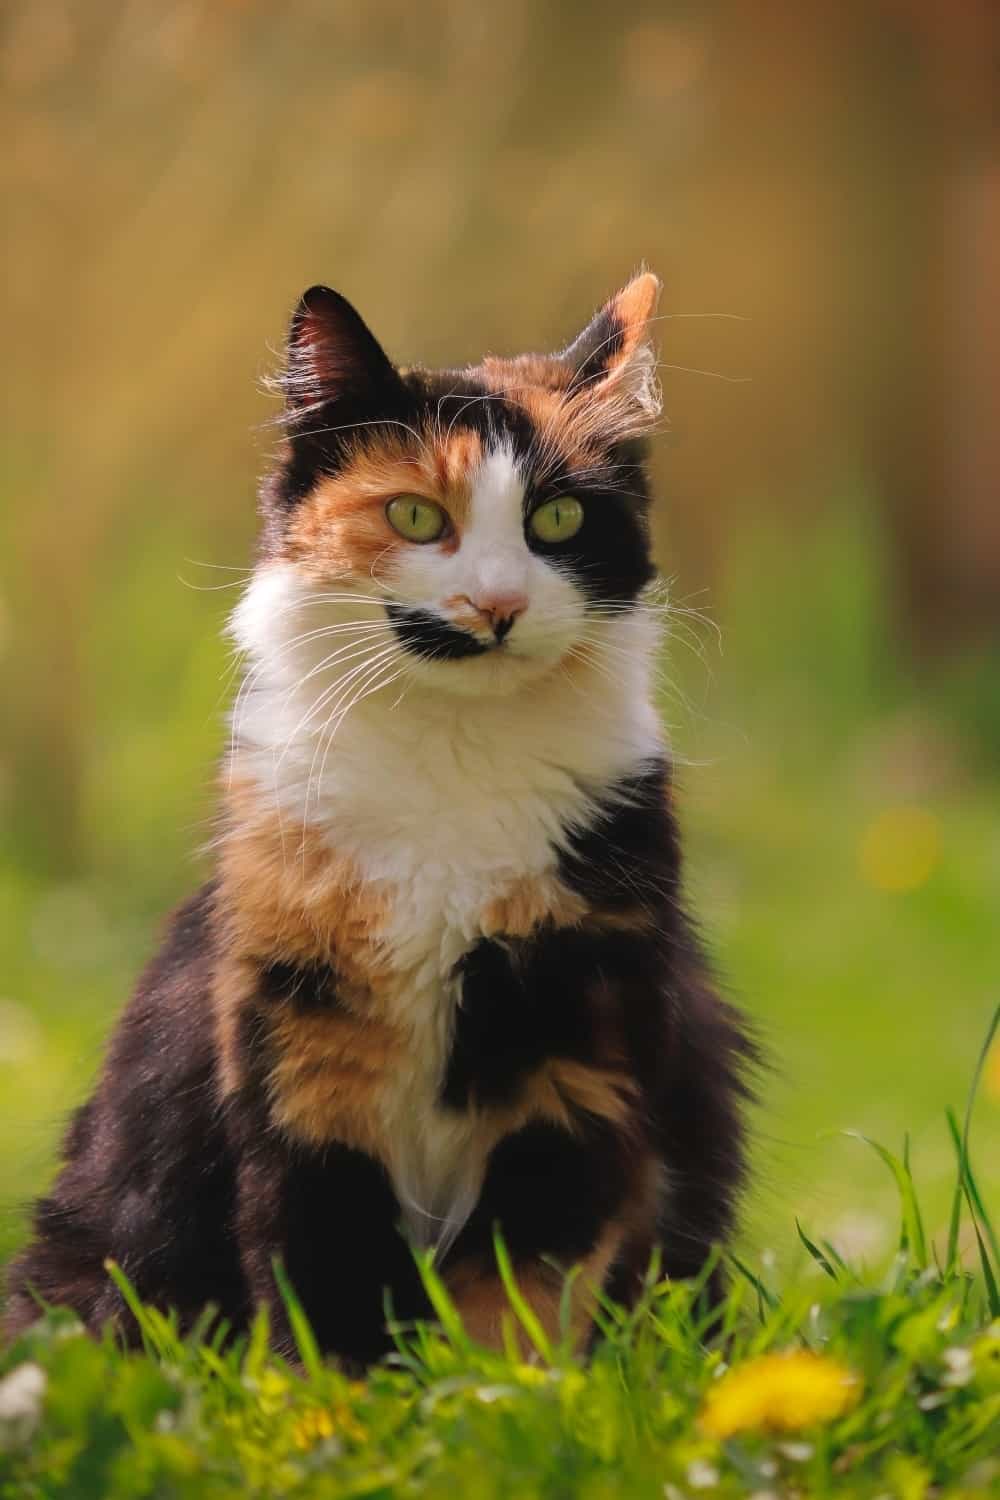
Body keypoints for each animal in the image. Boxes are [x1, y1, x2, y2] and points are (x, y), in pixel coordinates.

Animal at [5, 273, 749, 1374]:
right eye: (413, 514)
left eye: (559, 517)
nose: (496, 605)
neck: (452, 753)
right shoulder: (301, 1048)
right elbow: (325, 1272)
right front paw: (341, 1400)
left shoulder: (579, 1053)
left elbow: (520, 1286)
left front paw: (497, 1397)